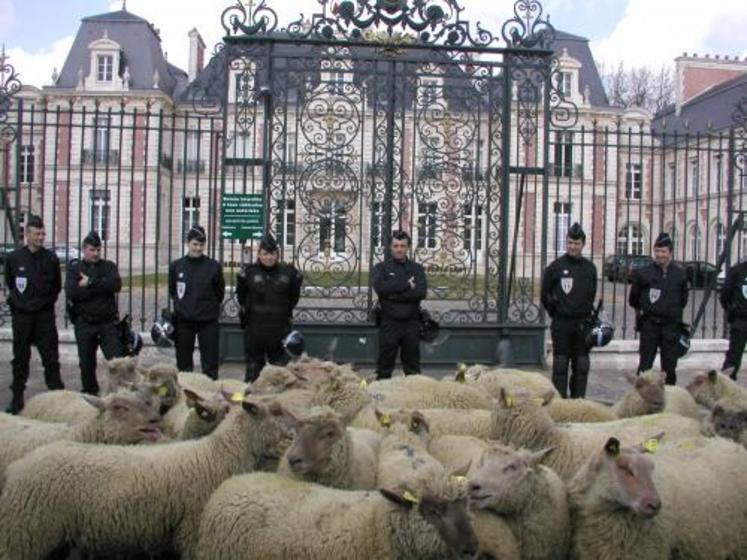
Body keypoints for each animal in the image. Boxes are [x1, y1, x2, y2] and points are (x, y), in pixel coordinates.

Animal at [0, 396, 292, 556]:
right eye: (276, 411)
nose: (296, 427)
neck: (216, 455)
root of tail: (18, 467)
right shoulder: (191, 530)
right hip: (24, 534)